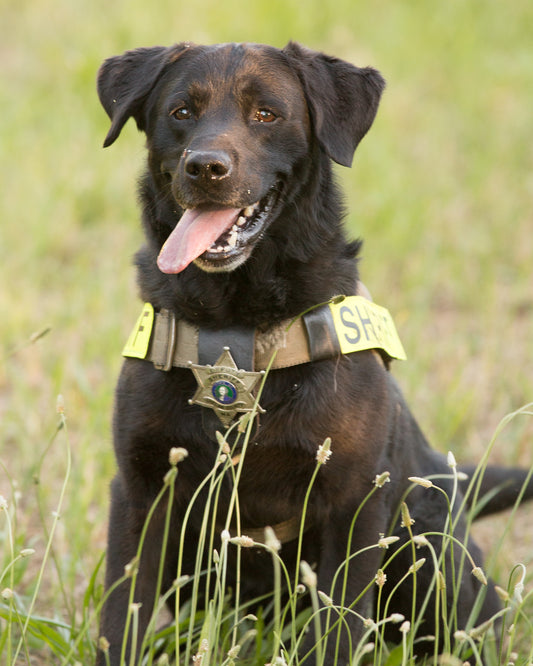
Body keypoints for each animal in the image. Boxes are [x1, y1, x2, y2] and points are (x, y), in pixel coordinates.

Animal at [96, 42, 532, 664]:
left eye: (266, 115)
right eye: (181, 112)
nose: (206, 167)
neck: (235, 329)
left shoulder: (352, 506)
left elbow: (338, 630)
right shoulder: (141, 492)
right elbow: (119, 623)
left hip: (429, 551)